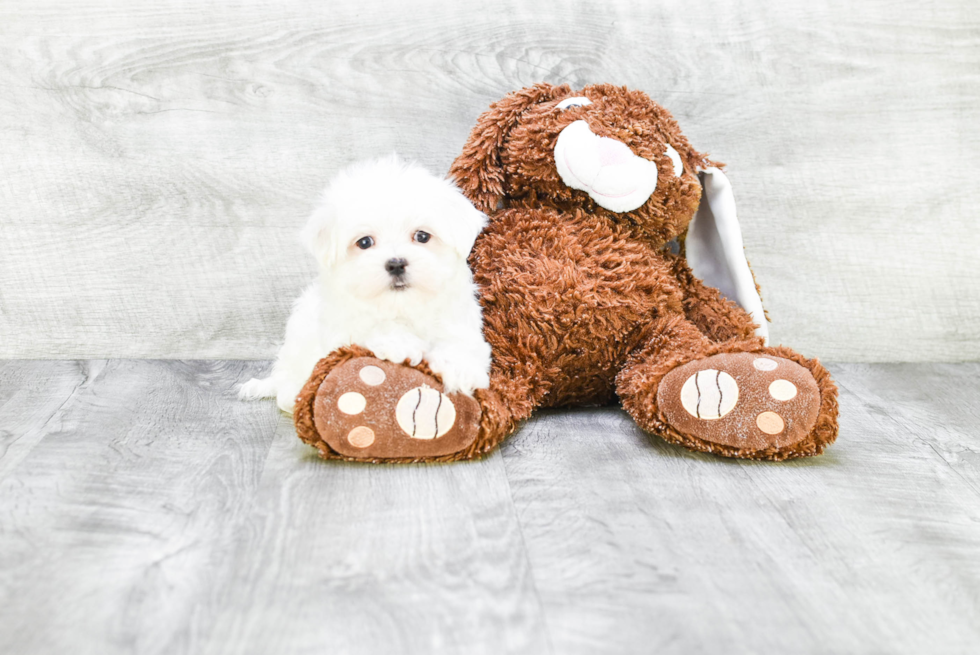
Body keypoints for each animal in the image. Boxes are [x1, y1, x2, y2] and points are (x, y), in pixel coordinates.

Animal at [241, 154, 494, 412]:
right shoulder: (342, 329)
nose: (396, 264)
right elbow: (371, 328)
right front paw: (400, 343)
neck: (402, 306)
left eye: (422, 236)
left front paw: (460, 369)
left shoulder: (459, 319)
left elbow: (460, 341)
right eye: (364, 242)